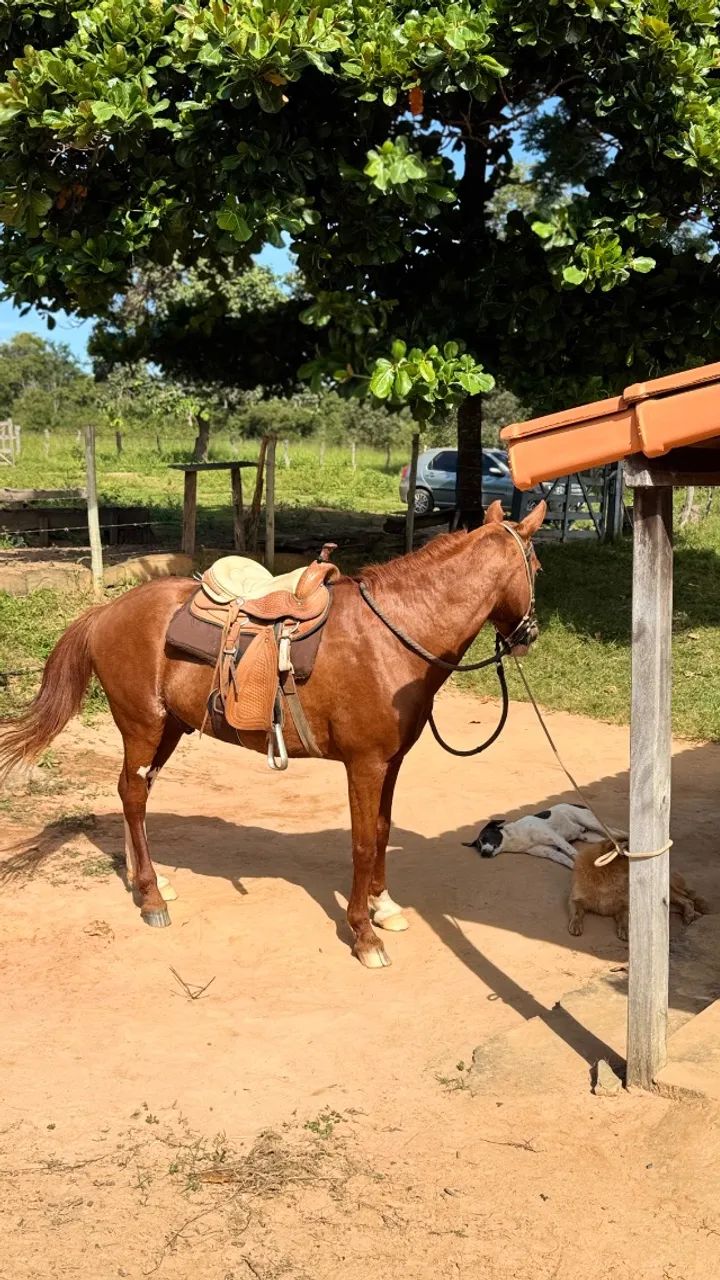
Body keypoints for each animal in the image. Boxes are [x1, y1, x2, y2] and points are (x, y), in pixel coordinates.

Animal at [0, 498, 545, 968]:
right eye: (537, 567)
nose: (528, 636)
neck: (391, 635)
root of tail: (104, 613)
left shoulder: (391, 763)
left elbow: (384, 831)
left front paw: (383, 907)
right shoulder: (365, 764)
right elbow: (363, 842)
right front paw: (363, 934)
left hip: (168, 729)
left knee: (134, 793)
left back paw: (145, 883)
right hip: (143, 724)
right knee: (133, 795)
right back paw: (152, 898)